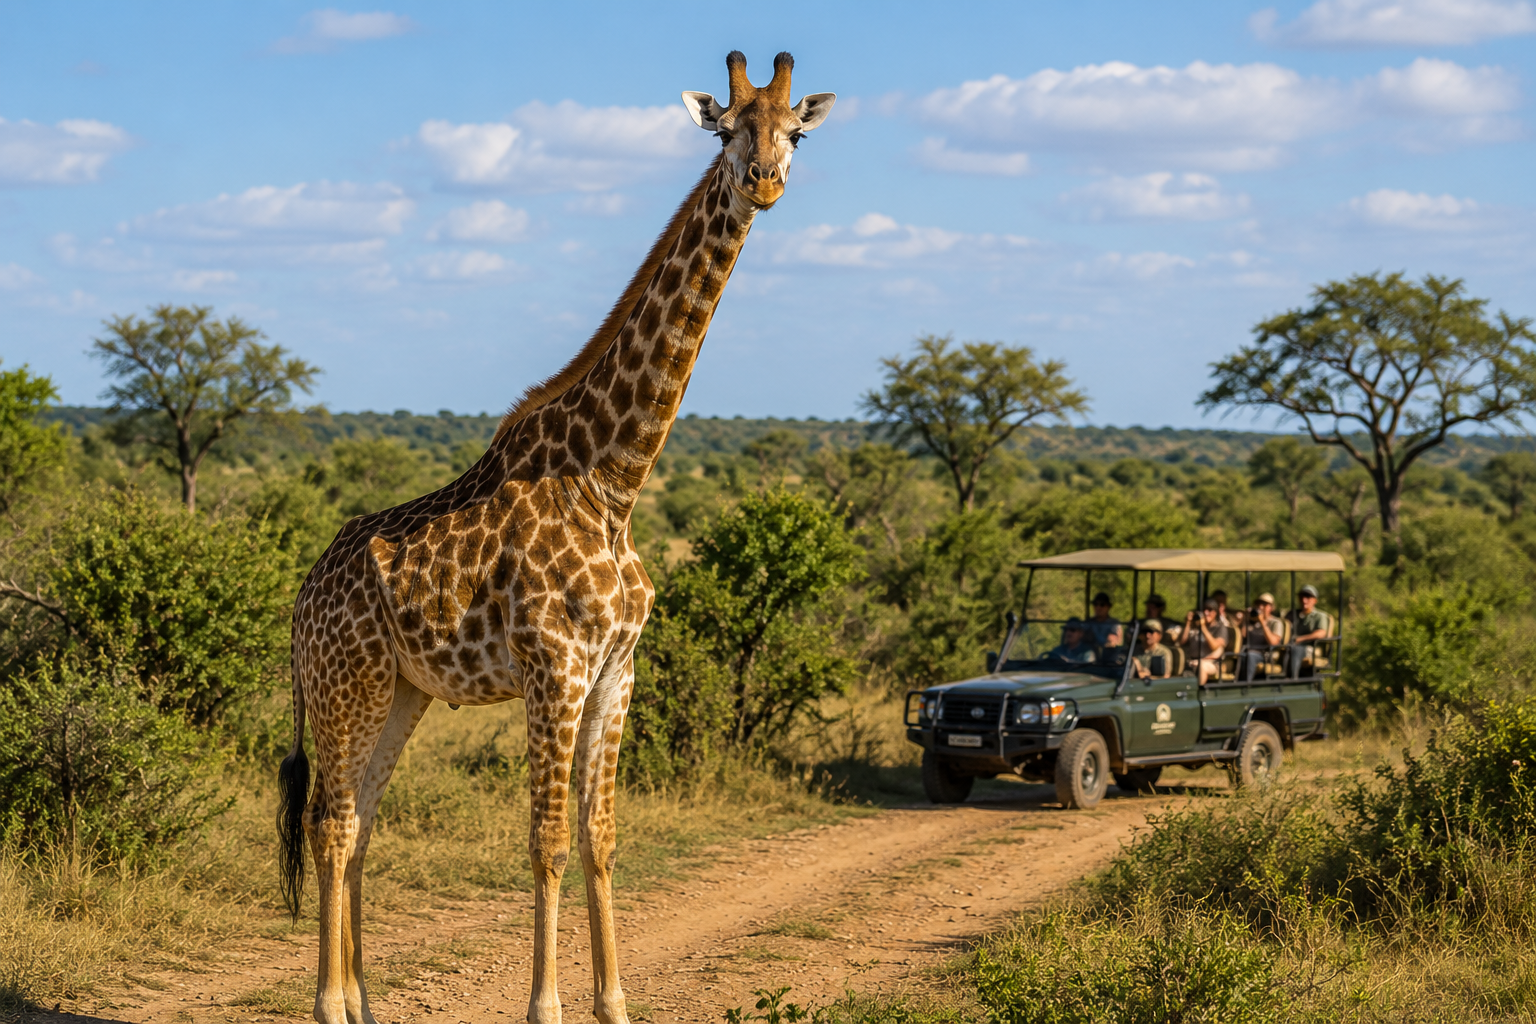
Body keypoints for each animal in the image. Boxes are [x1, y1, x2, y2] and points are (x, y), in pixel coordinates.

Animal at [275, 51, 835, 1024]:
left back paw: (367, 1003)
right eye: (728, 129)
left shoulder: (618, 671)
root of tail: (303, 596)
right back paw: (331, 1006)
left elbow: (600, 837)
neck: (613, 481)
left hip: (405, 692)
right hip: (348, 684)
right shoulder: (554, 667)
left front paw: (614, 1003)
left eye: (795, 132)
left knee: (363, 821)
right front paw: (548, 1005)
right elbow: (545, 841)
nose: (763, 181)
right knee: (332, 821)